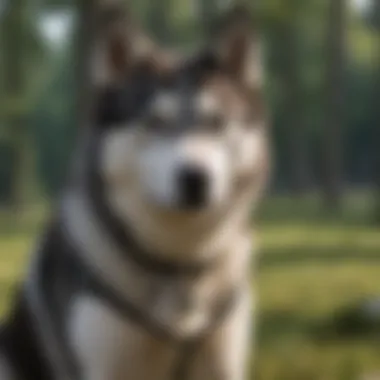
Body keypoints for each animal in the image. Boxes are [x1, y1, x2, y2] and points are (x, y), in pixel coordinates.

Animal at [0, 3, 268, 380]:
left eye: (216, 122)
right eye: (154, 122)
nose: (196, 178)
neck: (178, 264)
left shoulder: (222, 361)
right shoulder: (102, 365)